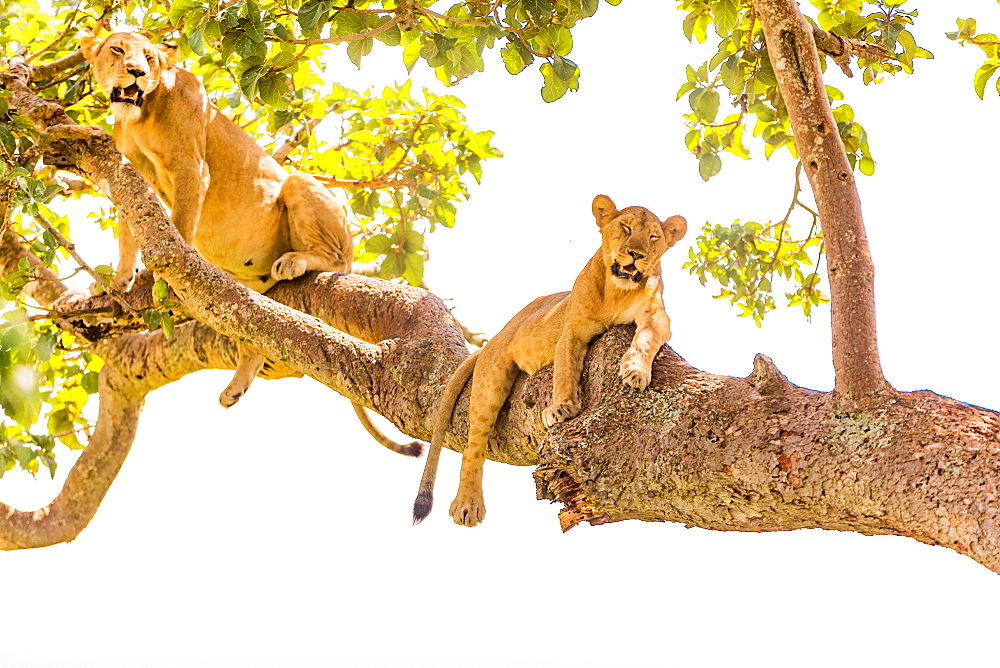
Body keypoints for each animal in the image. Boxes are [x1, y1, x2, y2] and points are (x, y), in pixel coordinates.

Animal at [80, 30, 420, 460]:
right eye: (117, 49)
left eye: (151, 57)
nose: (138, 72)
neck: (139, 116)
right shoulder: (127, 170)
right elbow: (129, 230)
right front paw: (120, 281)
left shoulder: (193, 167)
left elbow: (180, 224)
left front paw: (160, 276)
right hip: (235, 299)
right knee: (253, 332)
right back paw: (236, 387)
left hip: (300, 185)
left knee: (334, 261)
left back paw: (293, 263)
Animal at [410, 194, 684, 528]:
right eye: (626, 227)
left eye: (654, 237)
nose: (636, 254)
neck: (618, 291)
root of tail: (500, 333)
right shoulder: (572, 330)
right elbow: (564, 369)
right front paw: (561, 407)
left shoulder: (655, 316)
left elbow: (645, 341)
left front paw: (635, 370)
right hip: (492, 377)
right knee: (473, 443)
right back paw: (467, 503)